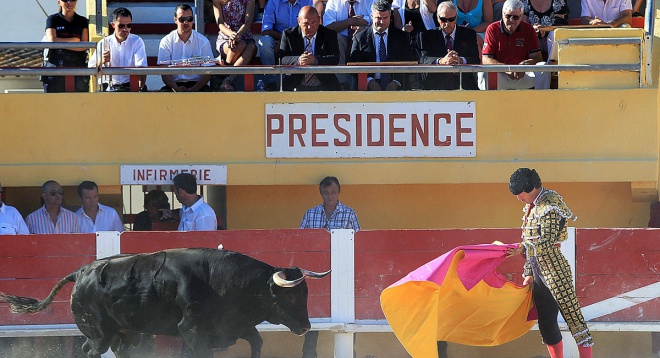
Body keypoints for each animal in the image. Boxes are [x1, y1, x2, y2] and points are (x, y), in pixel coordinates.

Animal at [0, 249, 330, 358]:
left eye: (305, 295)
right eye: (291, 295)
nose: (306, 327)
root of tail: (79, 272)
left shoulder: (234, 327)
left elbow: (258, 343)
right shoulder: (192, 331)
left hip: (125, 332)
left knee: (117, 350)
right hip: (99, 332)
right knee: (90, 351)